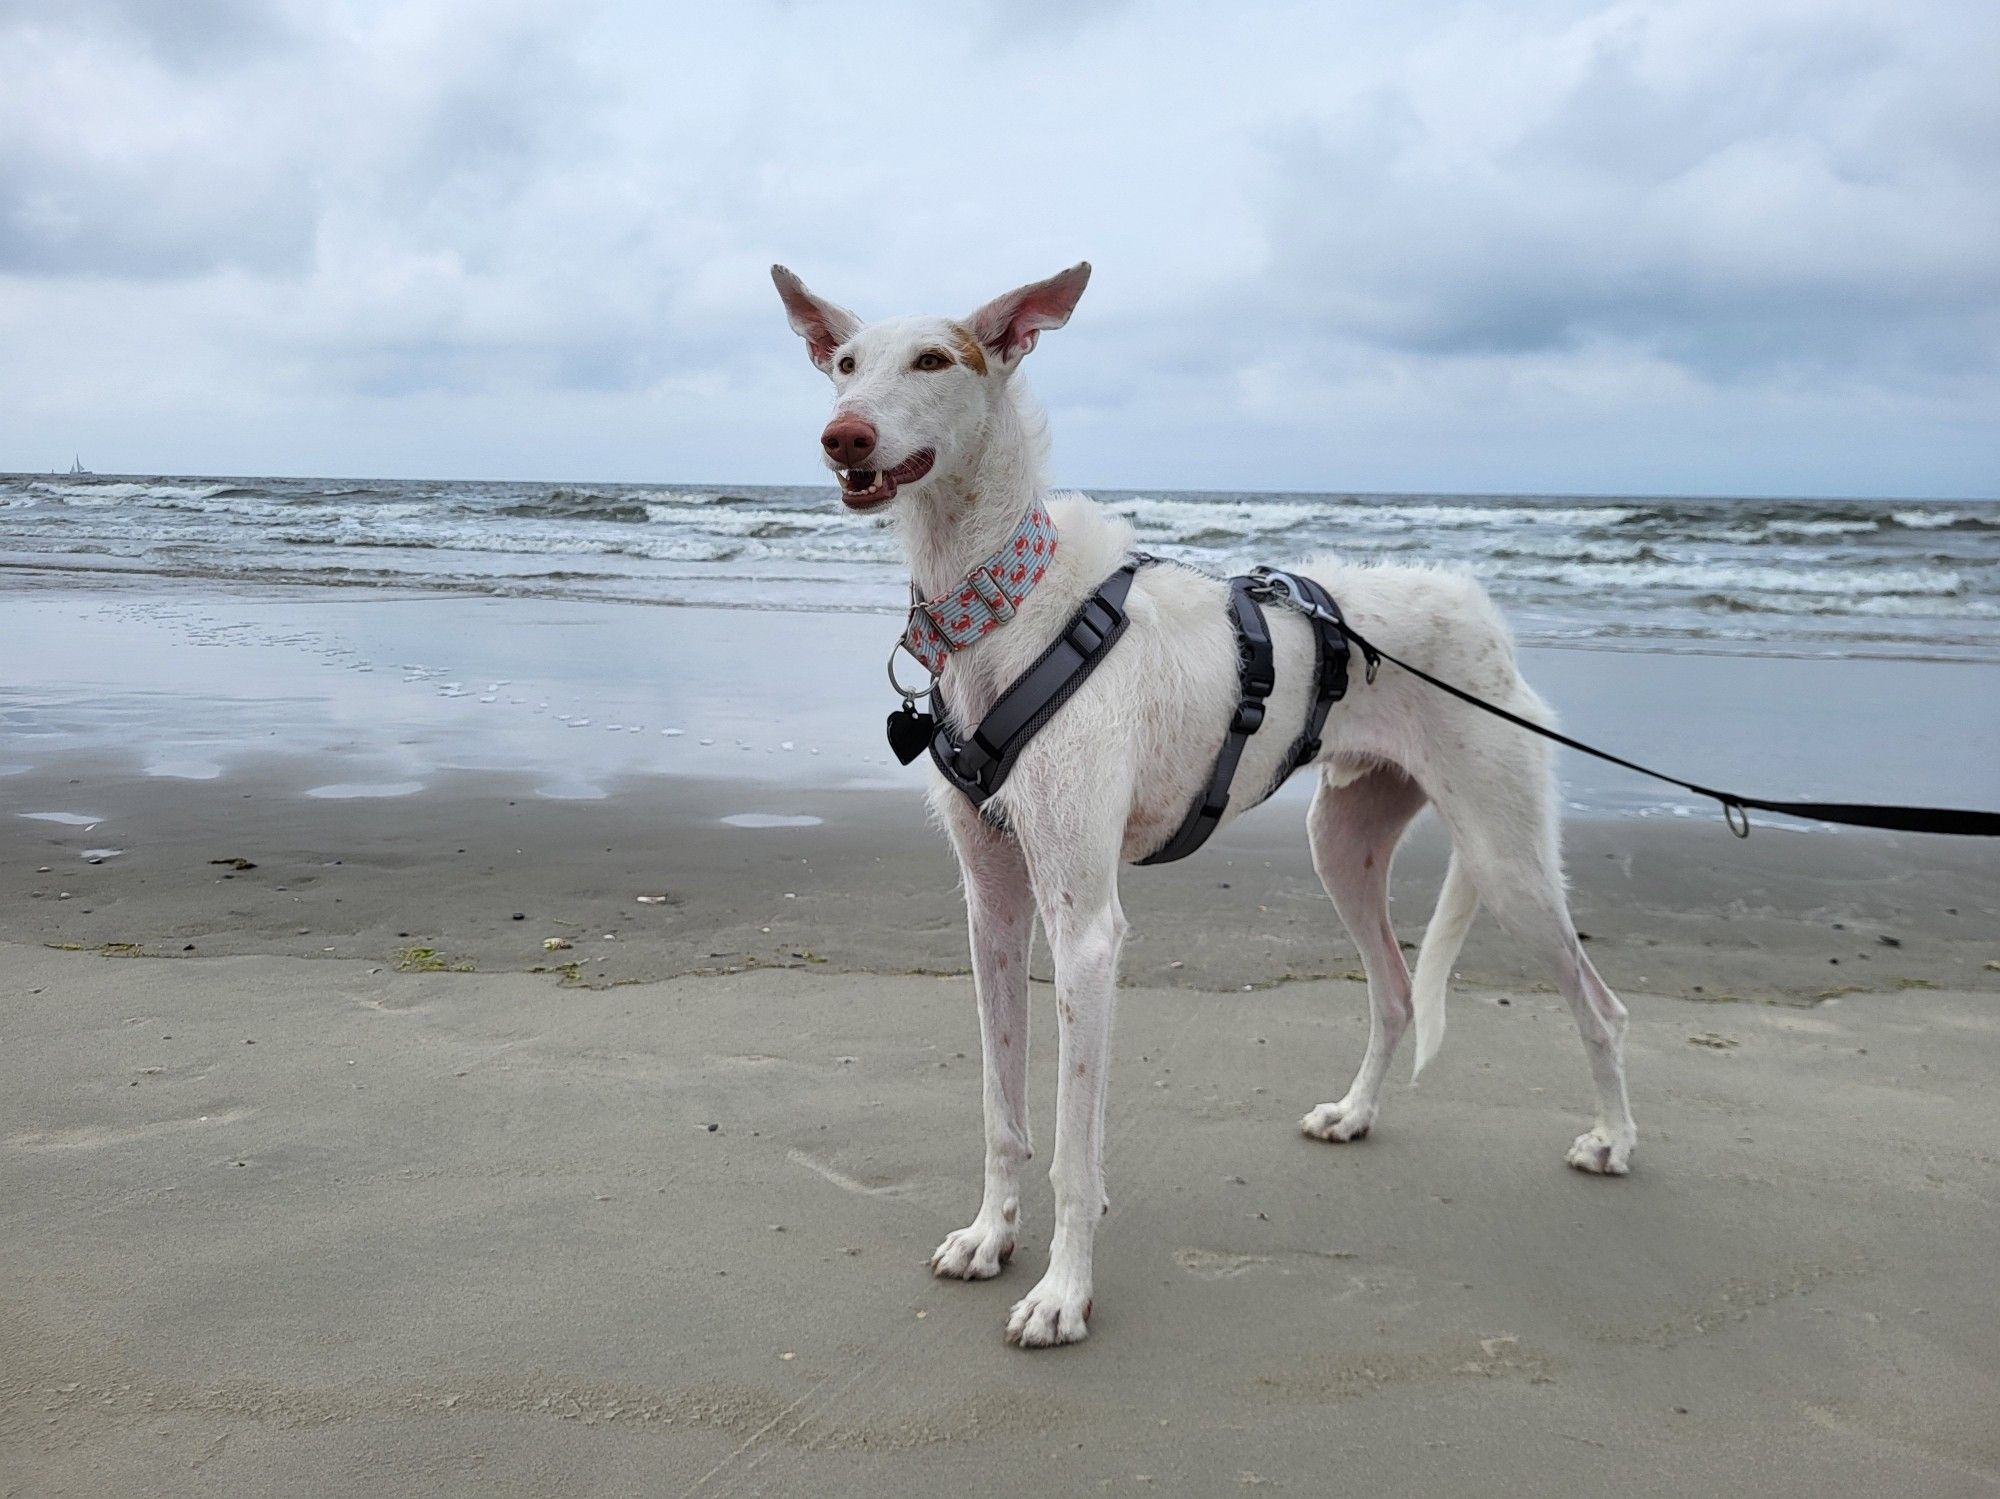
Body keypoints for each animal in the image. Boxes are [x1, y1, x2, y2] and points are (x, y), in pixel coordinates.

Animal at [772, 261, 1632, 1351]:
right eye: (844, 362)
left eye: (933, 360)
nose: (841, 435)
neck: (1008, 610)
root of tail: (1474, 606)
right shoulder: (993, 908)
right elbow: (1001, 1107)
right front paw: (990, 1233)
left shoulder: (1085, 926)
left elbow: (1073, 1142)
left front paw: (1063, 1291)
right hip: (1341, 841)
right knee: (1395, 991)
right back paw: (1353, 1113)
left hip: (1506, 855)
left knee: (1599, 1005)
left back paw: (1612, 1138)